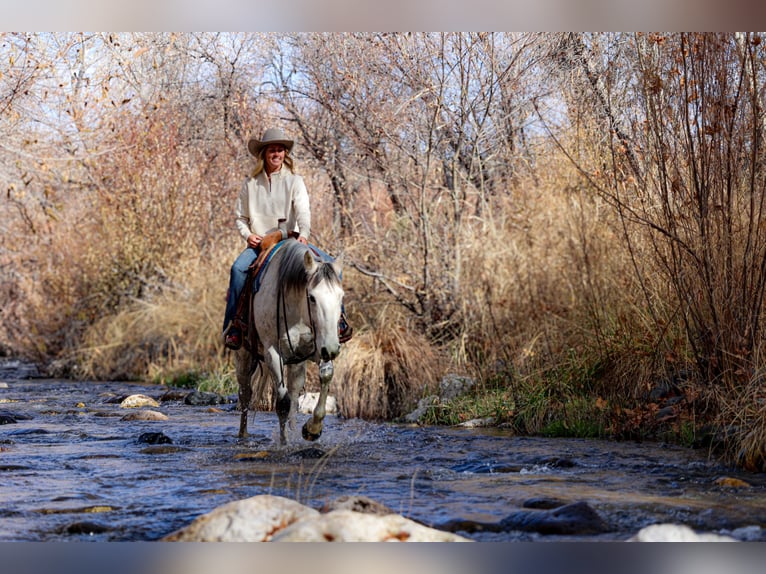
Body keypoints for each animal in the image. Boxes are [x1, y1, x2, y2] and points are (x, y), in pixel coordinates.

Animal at [232, 238, 344, 446]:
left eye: (341, 297)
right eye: (312, 297)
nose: (333, 348)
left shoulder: (318, 347)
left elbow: (324, 378)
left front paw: (312, 429)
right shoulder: (272, 353)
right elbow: (282, 403)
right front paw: (284, 443)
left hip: (297, 361)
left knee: (293, 393)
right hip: (243, 356)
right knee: (245, 393)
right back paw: (243, 435)